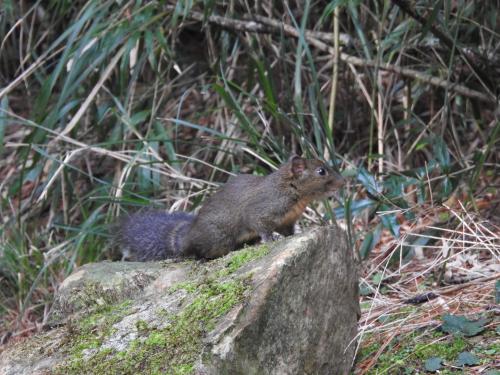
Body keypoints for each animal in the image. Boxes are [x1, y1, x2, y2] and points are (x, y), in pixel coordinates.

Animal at [115, 156, 346, 262]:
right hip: (219, 238)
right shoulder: (261, 210)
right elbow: (261, 226)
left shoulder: (288, 220)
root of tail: (187, 236)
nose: (343, 182)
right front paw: (270, 240)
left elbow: (289, 231)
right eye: (321, 171)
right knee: (198, 251)